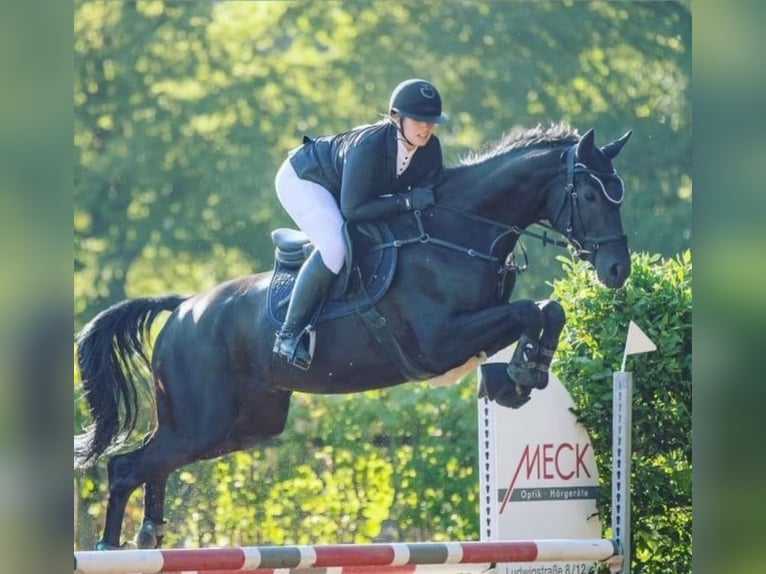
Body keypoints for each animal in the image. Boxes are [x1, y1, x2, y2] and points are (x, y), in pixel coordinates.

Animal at [74, 123, 632, 550]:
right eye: (588, 195)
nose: (618, 269)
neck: (457, 230)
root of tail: (184, 308)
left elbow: (547, 310)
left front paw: (521, 375)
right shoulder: (440, 341)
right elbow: (530, 310)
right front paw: (520, 373)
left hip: (242, 425)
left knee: (155, 464)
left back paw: (149, 534)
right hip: (203, 421)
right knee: (125, 468)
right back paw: (110, 546)